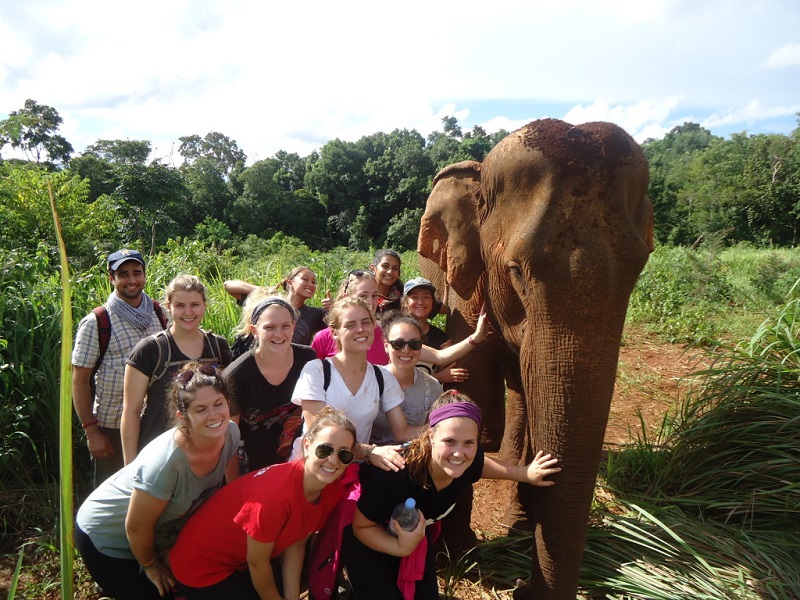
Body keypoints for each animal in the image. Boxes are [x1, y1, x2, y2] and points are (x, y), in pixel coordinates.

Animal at [416, 118, 652, 600]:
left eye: (639, 267)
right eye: (516, 271)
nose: (523, 585)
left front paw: (517, 528)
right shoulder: (467, 286)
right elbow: (472, 381)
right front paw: (461, 556)